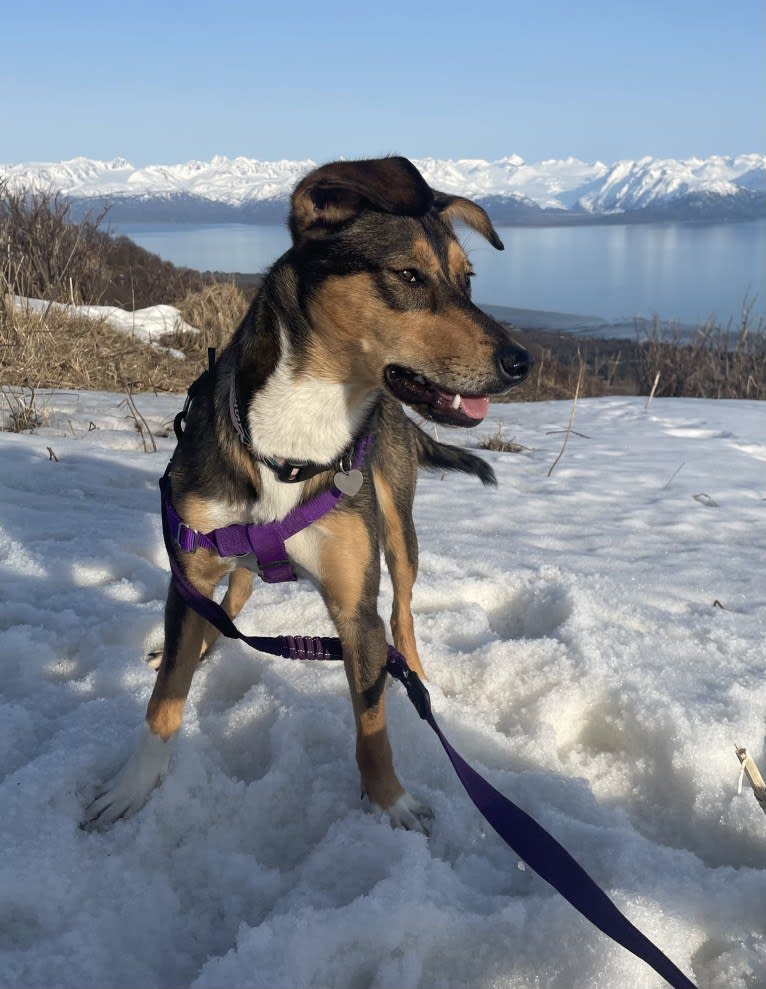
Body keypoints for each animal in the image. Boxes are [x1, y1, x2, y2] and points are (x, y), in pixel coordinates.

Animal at [82, 156, 528, 832]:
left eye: (467, 281)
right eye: (408, 275)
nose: (520, 361)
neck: (293, 439)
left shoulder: (354, 610)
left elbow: (372, 724)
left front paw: (392, 803)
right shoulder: (189, 570)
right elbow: (163, 704)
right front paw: (132, 787)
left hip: (399, 530)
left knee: (403, 614)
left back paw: (418, 680)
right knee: (234, 595)